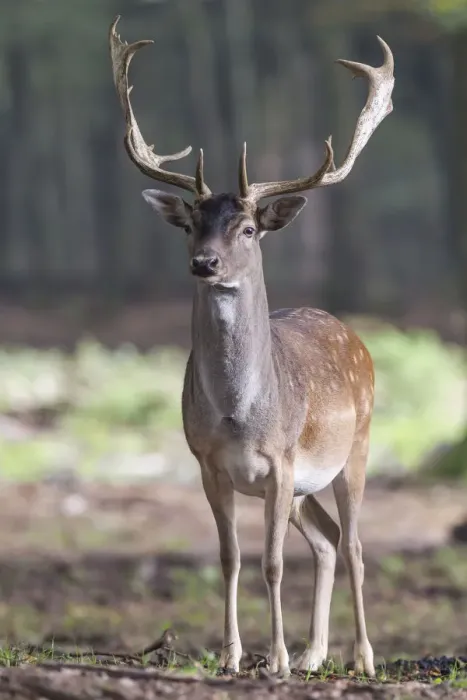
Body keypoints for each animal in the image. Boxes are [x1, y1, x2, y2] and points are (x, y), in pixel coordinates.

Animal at [109, 16, 394, 677]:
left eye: (246, 228)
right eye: (192, 224)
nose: (204, 263)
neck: (240, 416)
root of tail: (353, 335)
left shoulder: (283, 461)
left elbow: (272, 562)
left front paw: (278, 659)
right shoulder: (209, 464)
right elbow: (231, 557)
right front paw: (234, 657)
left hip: (356, 448)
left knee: (357, 543)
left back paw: (362, 658)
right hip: (302, 488)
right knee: (327, 541)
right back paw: (317, 654)